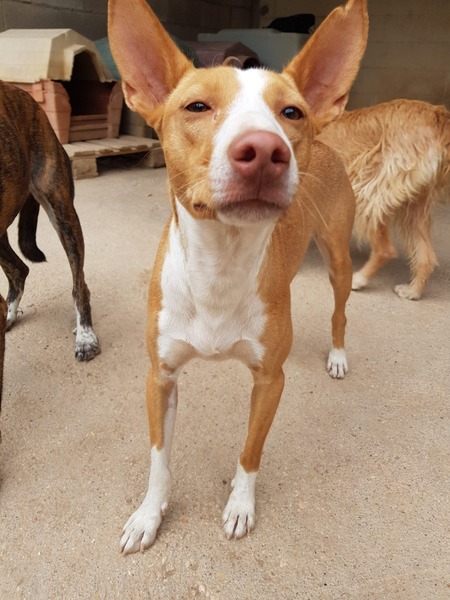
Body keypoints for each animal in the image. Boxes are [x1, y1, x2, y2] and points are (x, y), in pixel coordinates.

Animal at [108, 0, 368, 554]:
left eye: (290, 112)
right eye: (196, 107)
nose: (267, 150)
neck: (220, 268)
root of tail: (328, 140)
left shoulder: (270, 381)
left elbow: (250, 453)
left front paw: (240, 506)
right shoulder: (159, 377)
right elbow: (159, 460)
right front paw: (148, 514)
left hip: (338, 259)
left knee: (339, 311)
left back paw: (337, 355)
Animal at [319, 99, 450, 299]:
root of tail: (436, 115)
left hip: (366, 193)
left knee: (385, 250)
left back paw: (359, 279)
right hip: (414, 206)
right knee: (426, 256)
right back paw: (413, 291)